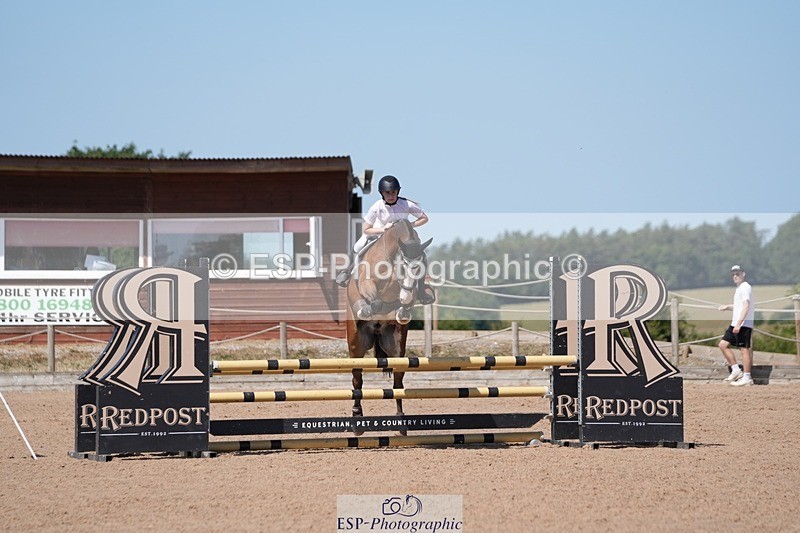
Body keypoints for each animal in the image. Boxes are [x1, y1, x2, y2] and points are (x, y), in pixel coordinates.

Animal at [345, 219, 432, 431]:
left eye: (421, 268)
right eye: (403, 267)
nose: (405, 297)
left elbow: (408, 298)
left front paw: (403, 309)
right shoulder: (368, 283)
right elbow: (375, 301)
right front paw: (368, 308)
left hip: (397, 347)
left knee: (398, 381)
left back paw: (400, 419)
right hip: (356, 344)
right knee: (357, 378)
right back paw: (357, 417)